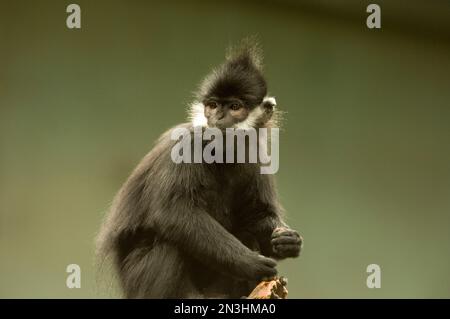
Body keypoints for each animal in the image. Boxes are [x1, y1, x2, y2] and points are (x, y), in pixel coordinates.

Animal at [96, 40, 304, 300]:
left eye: (235, 106)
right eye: (212, 105)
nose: (218, 117)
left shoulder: (255, 154)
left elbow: (256, 216)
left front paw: (288, 241)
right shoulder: (187, 142)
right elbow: (172, 211)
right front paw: (250, 263)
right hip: (138, 280)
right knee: (169, 244)